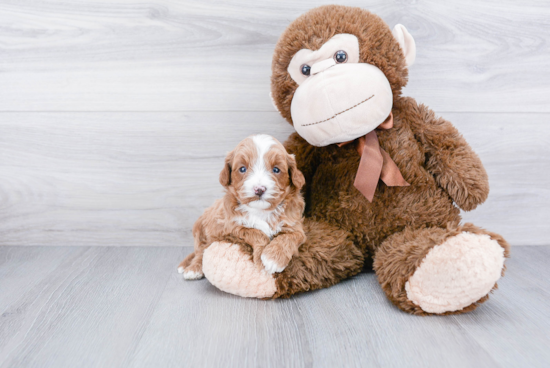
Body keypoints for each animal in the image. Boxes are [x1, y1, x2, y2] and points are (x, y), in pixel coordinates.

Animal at [178, 134, 308, 280]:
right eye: (242, 169)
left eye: (276, 169)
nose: (259, 189)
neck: (261, 211)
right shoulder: (231, 227)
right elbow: (256, 232)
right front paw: (262, 261)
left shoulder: (295, 226)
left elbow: (290, 236)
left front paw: (273, 259)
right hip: (201, 230)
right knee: (201, 250)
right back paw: (193, 269)